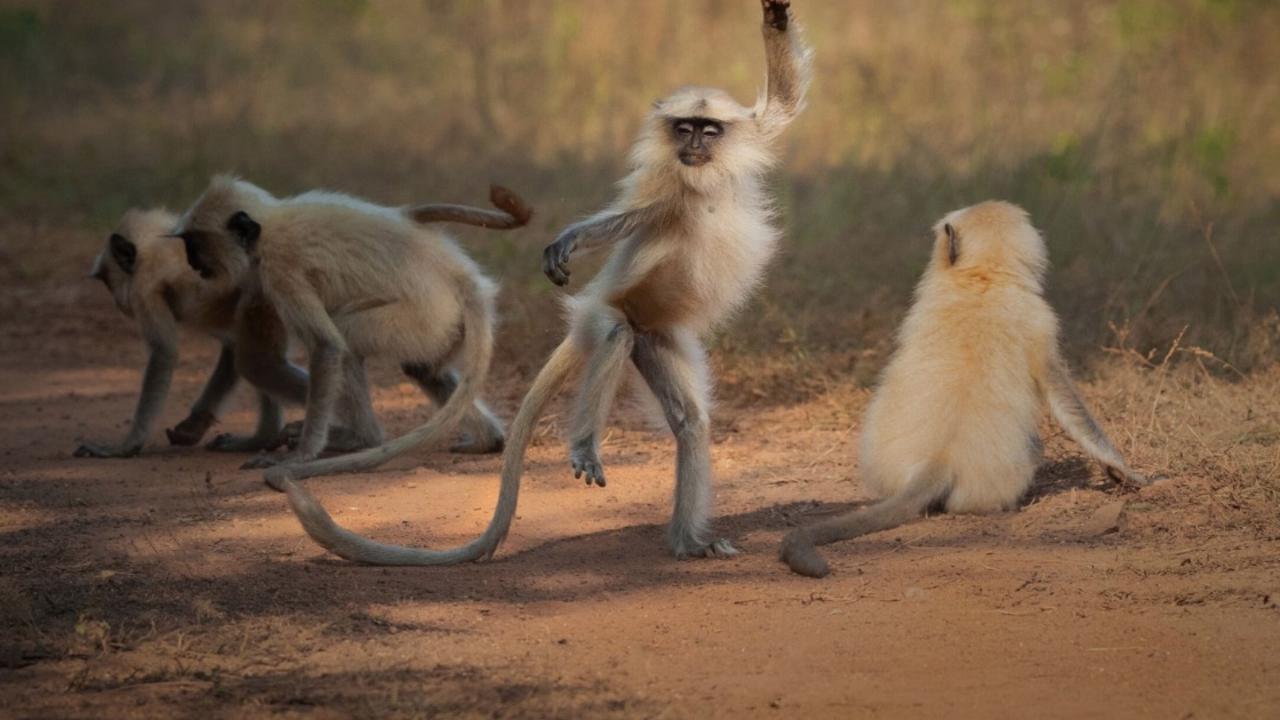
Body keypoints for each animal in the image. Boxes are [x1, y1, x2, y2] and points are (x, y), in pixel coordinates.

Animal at [275, 0, 814, 561]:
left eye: (708, 130)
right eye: (683, 127)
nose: (692, 143)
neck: (701, 180)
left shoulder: (741, 140)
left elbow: (784, 102)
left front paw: (776, 17)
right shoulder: (663, 186)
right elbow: (622, 219)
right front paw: (569, 240)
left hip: (657, 337)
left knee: (690, 421)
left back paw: (687, 542)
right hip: (606, 313)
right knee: (615, 335)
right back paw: (586, 448)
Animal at [778, 199, 1152, 576]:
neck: (983, 277)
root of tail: (939, 459)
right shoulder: (1041, 322)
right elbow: (1071, 406)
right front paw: (1126, 471)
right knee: (1034, 447)